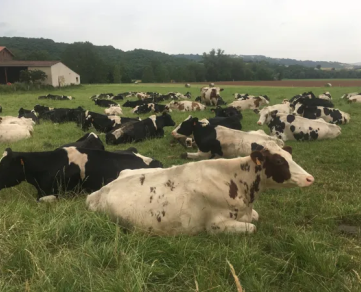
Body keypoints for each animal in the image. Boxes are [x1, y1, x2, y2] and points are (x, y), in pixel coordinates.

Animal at [86, 140, 312, 236]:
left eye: (290, 156)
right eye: (279, 161)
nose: (309, 178)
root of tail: (98, 193)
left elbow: (256, 217)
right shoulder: (215, 225)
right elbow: (252, 227)